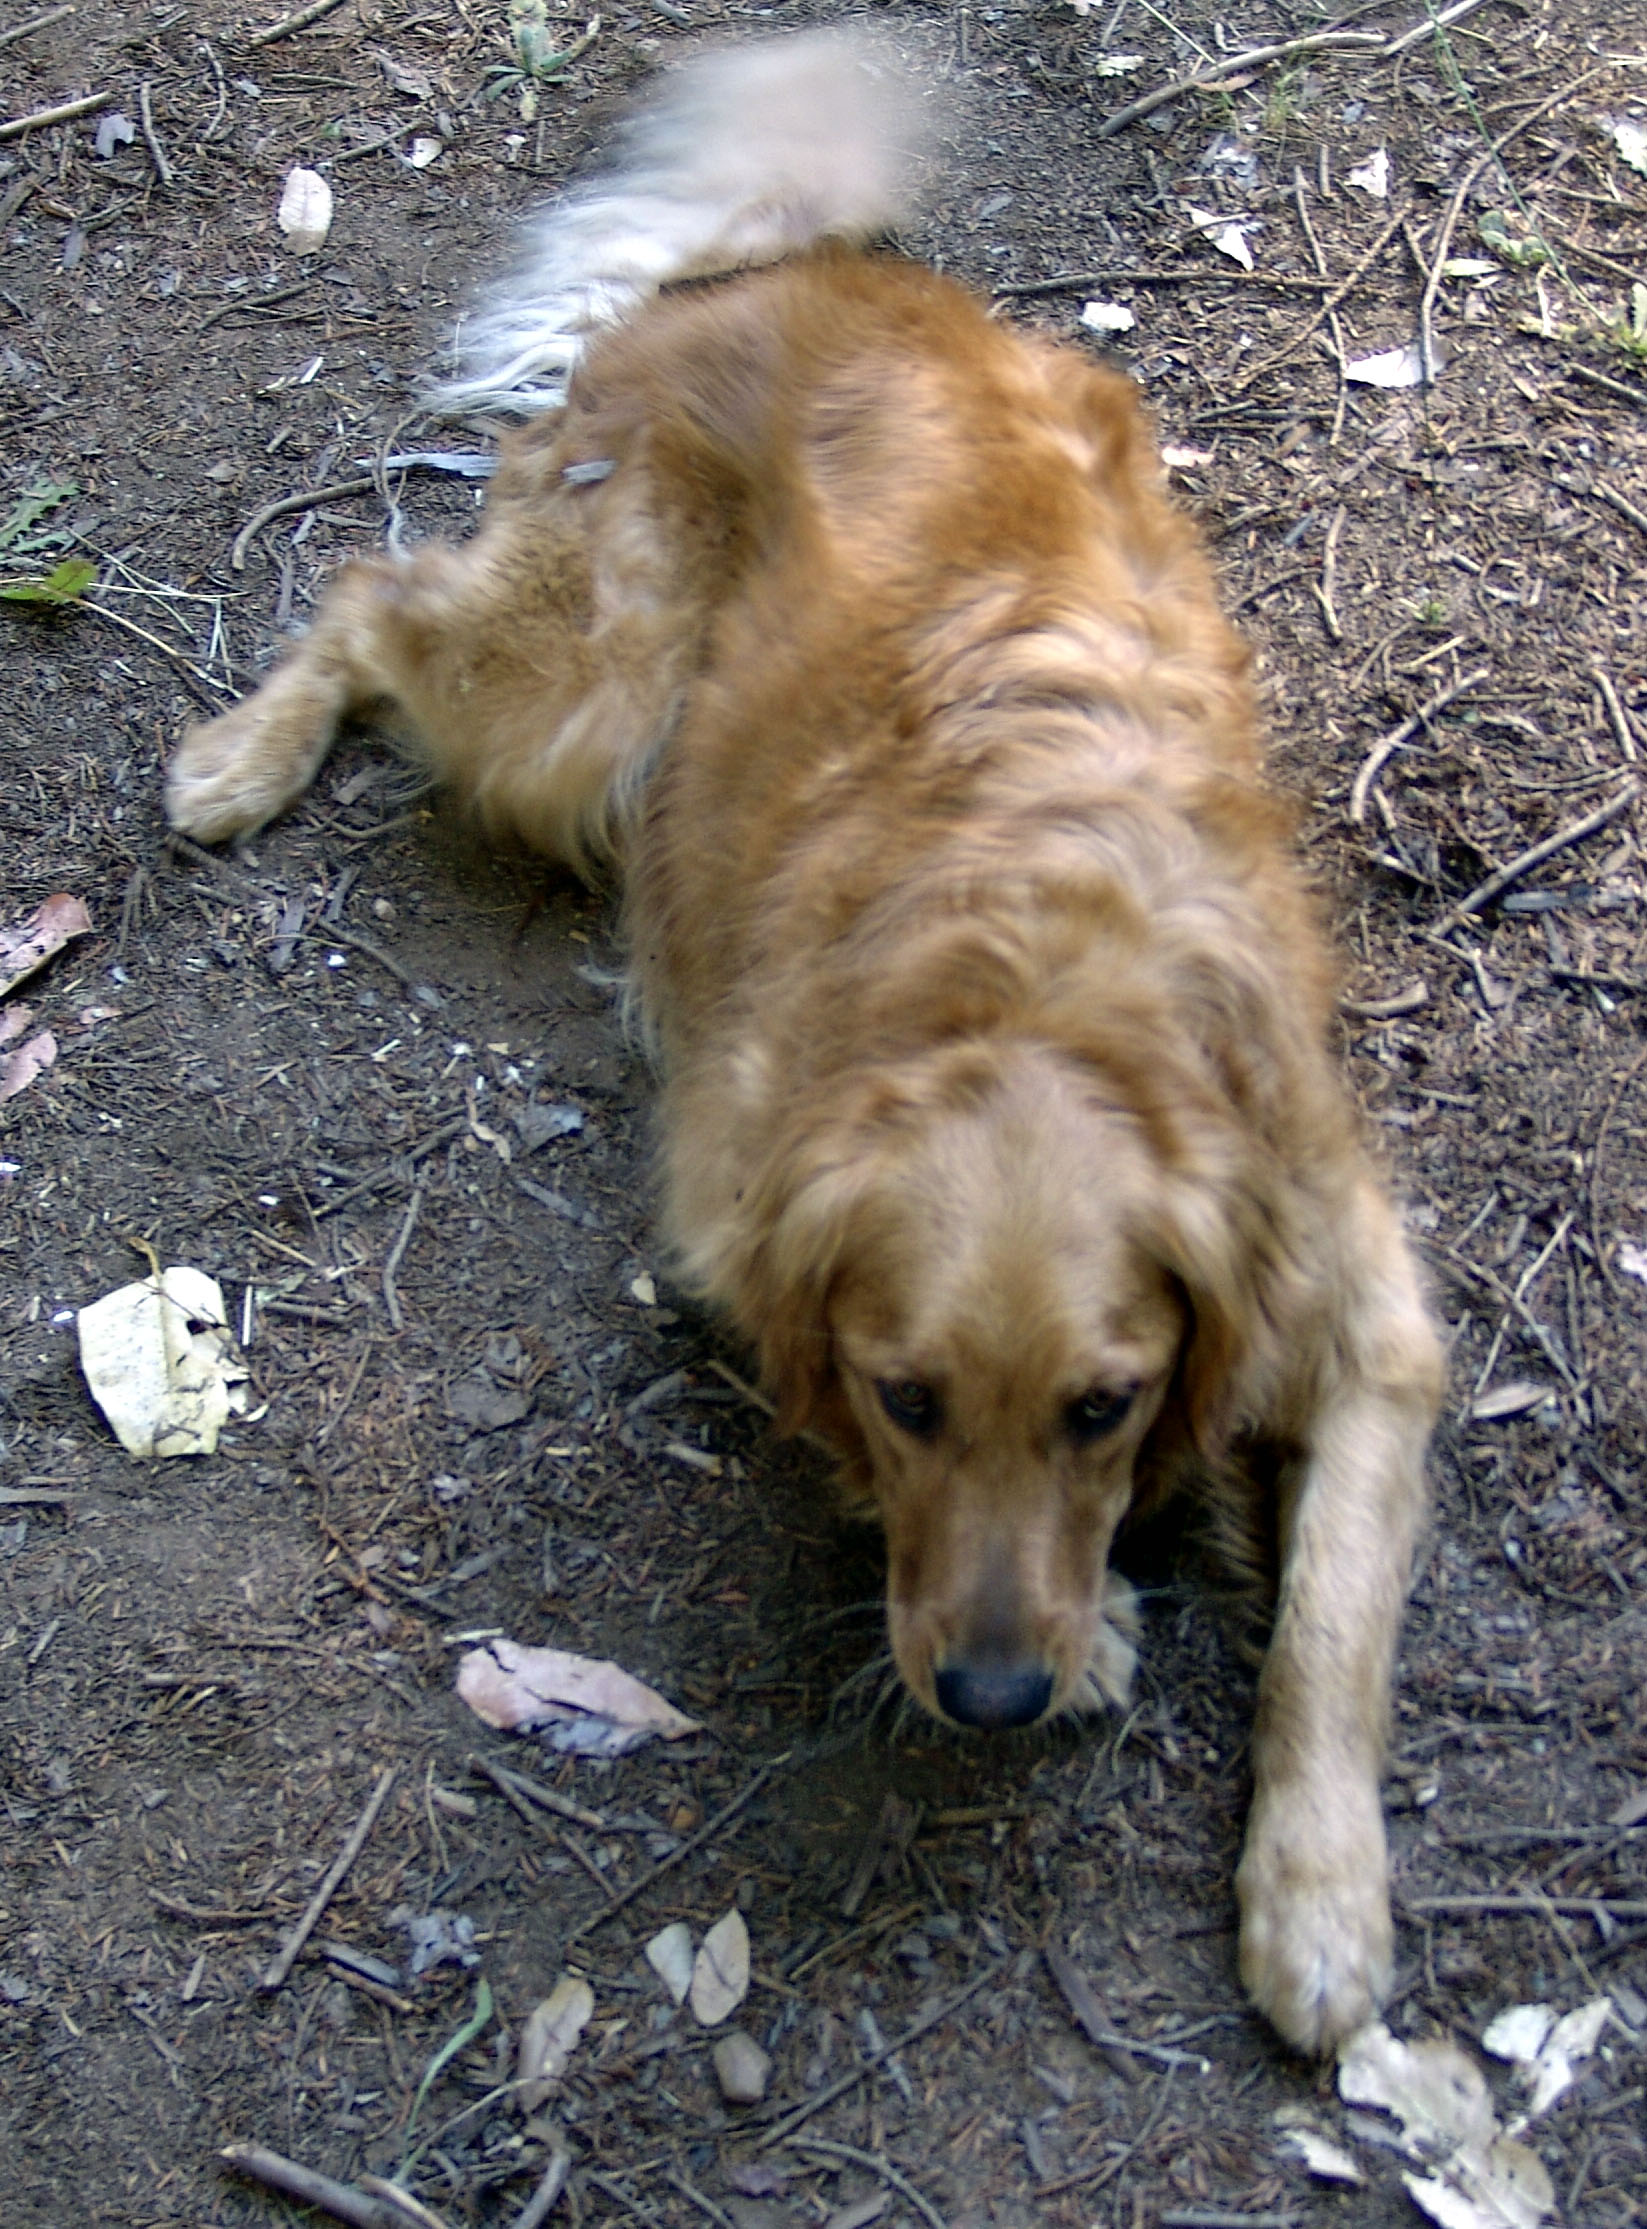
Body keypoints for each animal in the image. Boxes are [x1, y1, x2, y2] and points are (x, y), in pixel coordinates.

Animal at [165, 31, 1442, 2054]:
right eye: (907, 1399)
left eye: (1106, 1404)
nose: (991, 1699)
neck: (1036, 980)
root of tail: (765, 277)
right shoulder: (728, 1199)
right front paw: (1104, 1633)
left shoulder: (1358, 1293)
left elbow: (1333, 1614)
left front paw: (1318, 1895)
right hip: (580, 691)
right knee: (373, 597)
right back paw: (236, 756)